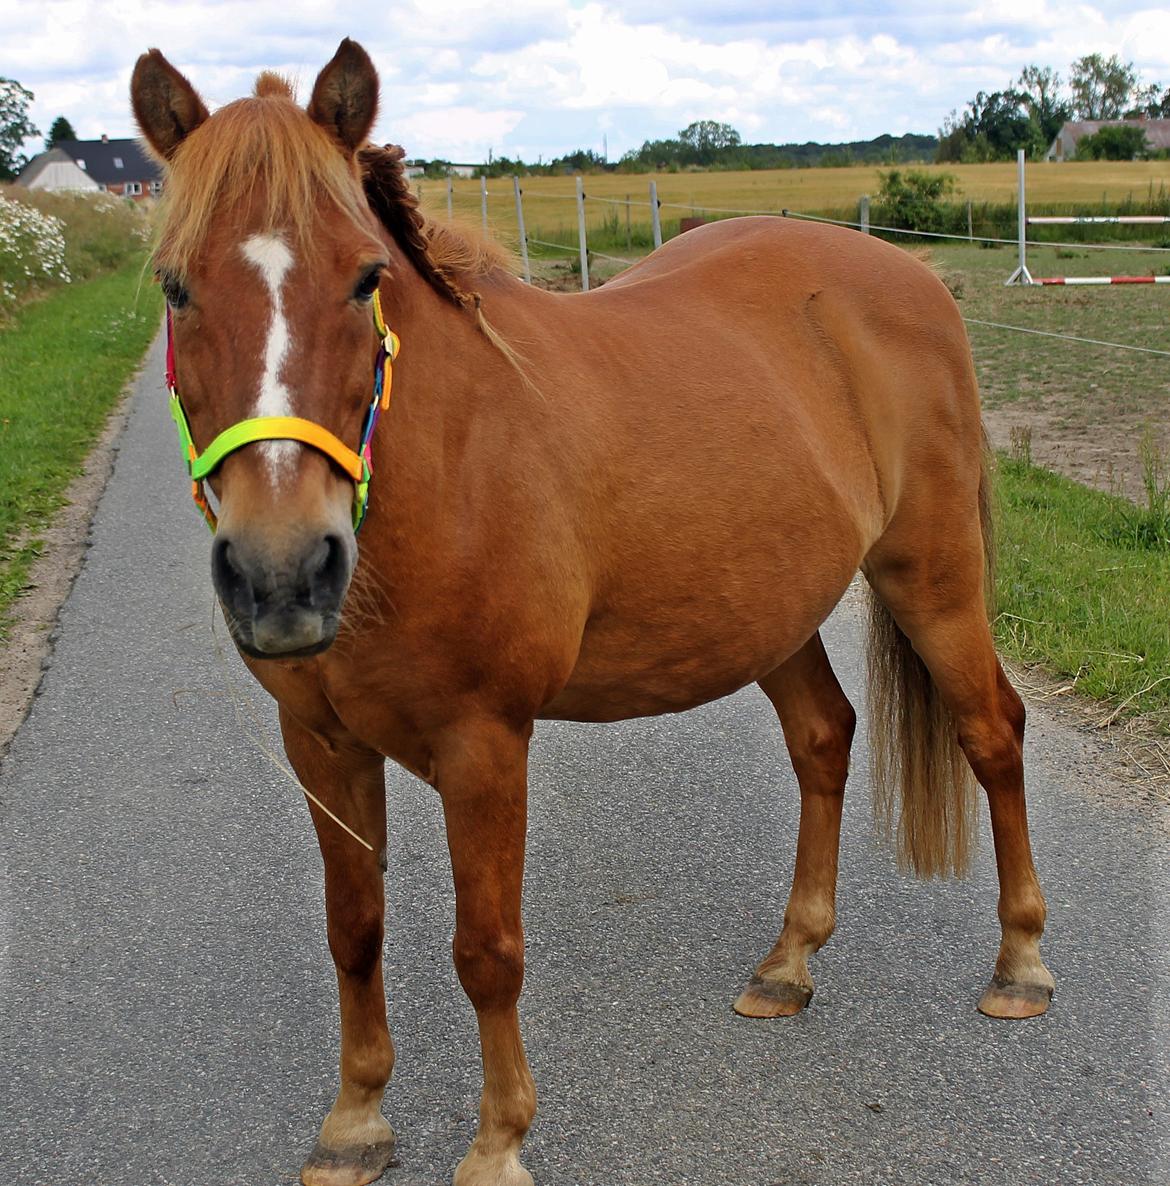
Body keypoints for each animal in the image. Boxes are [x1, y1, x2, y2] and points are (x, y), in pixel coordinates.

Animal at [132, 37, 1057, 1186]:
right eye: (176, 286)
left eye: (364, 278)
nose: (283, 573)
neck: (441, 466)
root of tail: (905, 274)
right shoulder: (320, 742)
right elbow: (356, 931)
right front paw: (353, 1123)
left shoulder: (484, 743)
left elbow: (486, 950)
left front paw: (498, 1141)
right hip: (770, 610)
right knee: (822, 736)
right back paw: (789, 961)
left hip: (931, 577)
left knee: (992, 733)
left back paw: (1020, 962)